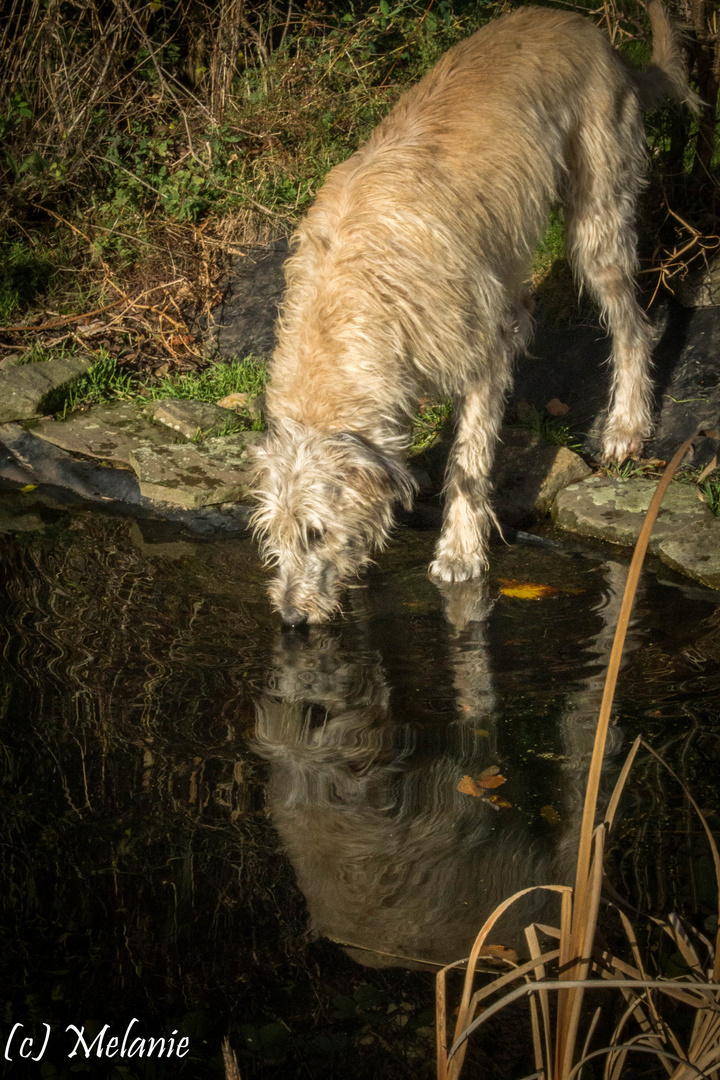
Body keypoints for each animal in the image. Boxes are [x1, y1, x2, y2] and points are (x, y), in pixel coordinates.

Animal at [252, 4, 699, 626]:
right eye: (275, 536)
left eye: (317, 533)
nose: (292, 619)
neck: (350, 303)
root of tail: (589, 31)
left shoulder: (475, 357)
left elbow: (467, 461)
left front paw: (460, 553)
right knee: (524, 305)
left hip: (597, 217)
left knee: (632, 325)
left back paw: (626, 426)